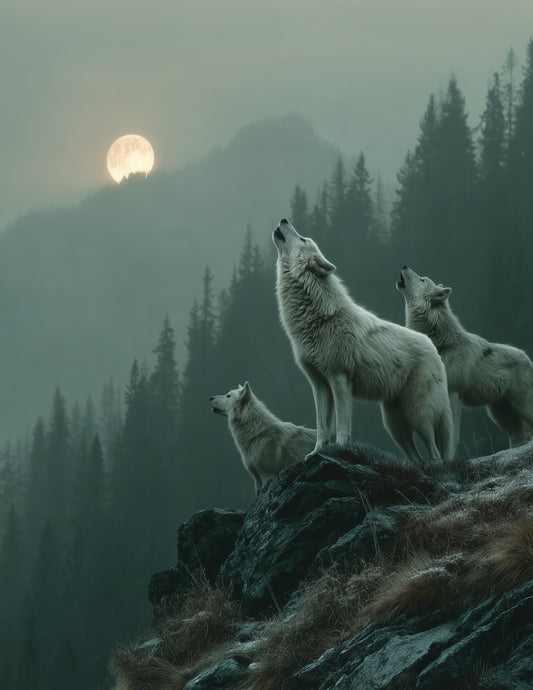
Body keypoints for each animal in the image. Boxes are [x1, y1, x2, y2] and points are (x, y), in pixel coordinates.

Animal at [272, 219, 453, 462]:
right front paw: (316, 453)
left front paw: (340, 448)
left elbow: (342, 423)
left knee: (435, 453)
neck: (319, 316)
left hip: (418, 413)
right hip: (394, 425)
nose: (284, 219)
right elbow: (322, 427)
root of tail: (432, 346)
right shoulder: (319, 384)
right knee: (416, 458)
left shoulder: (339, 378)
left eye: (302, 239)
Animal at [397, 265, 533, 450]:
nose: (404, 265)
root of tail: (528, 358)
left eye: (422, 279)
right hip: (501, 415)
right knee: (520, 437)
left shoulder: (453, 393)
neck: (441, 343)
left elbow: (451, 436)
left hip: (522, 407)